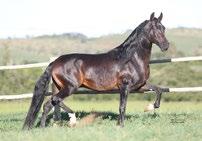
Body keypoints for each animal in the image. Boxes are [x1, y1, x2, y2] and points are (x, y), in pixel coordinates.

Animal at [22, 12, 169, 129]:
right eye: (154, 28)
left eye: (163, 28)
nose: (166, 46)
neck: (131, 58)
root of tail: (54, 62)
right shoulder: (125, 86)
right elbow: (122, 106)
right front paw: (120, 125)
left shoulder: (140, 86)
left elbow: (159, 90)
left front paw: (151, 107)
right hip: (71, 87)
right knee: (54, 100)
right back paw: (72, 120)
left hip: (61, 87)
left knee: (49, 103)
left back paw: (44, 127)